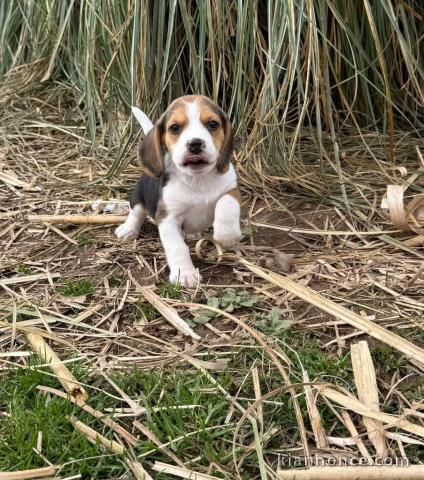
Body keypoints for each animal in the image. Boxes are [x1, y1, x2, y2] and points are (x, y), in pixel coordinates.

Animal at [116, 95, 242, 286]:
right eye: (175, 128)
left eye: (212, 124)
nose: (195, 143)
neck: (197, 179)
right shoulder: (168, 218)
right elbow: (177, 247)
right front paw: (185, 274)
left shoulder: (232, 189)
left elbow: (227, 201)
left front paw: (227, 234)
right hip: (138, 198)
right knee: (136, 213)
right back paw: (128, 230)